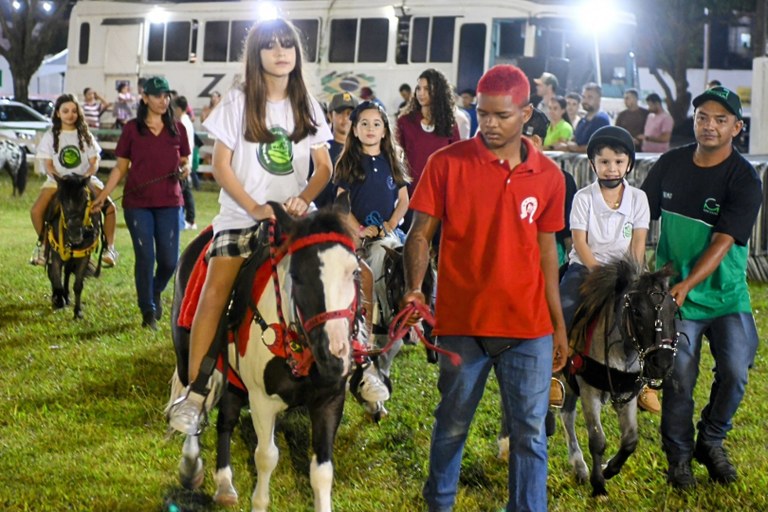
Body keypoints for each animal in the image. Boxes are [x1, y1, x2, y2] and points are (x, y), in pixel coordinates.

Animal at [44, 177, 102, 320]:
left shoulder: (84, 256)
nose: (75, 234)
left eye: (85, 200)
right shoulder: (56, 254)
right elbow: (56, 277)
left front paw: (78, 312)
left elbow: (78, 285)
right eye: (62, 201)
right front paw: (59, 300)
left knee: (68, 272)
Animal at [170, 195, 368, 508]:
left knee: (225, 421)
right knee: (195, 395)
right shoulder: (262, 400)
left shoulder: (330, 399)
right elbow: (266, 457)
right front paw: (259, 503)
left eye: (355, 271)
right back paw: (191, 466)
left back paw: (224, 484)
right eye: (297, 276)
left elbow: (322, 472)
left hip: (233, 380)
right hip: (188, 353)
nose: (334, 357)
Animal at [560, 258, 680, 498]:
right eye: (637, 311)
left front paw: (608, 469)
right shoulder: (589, 392)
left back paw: (579, 467)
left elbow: (630, 440)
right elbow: (597, 440)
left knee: (566, 415)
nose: (662, 363)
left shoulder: (626, 393)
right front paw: (598, 486)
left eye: (673, 311)